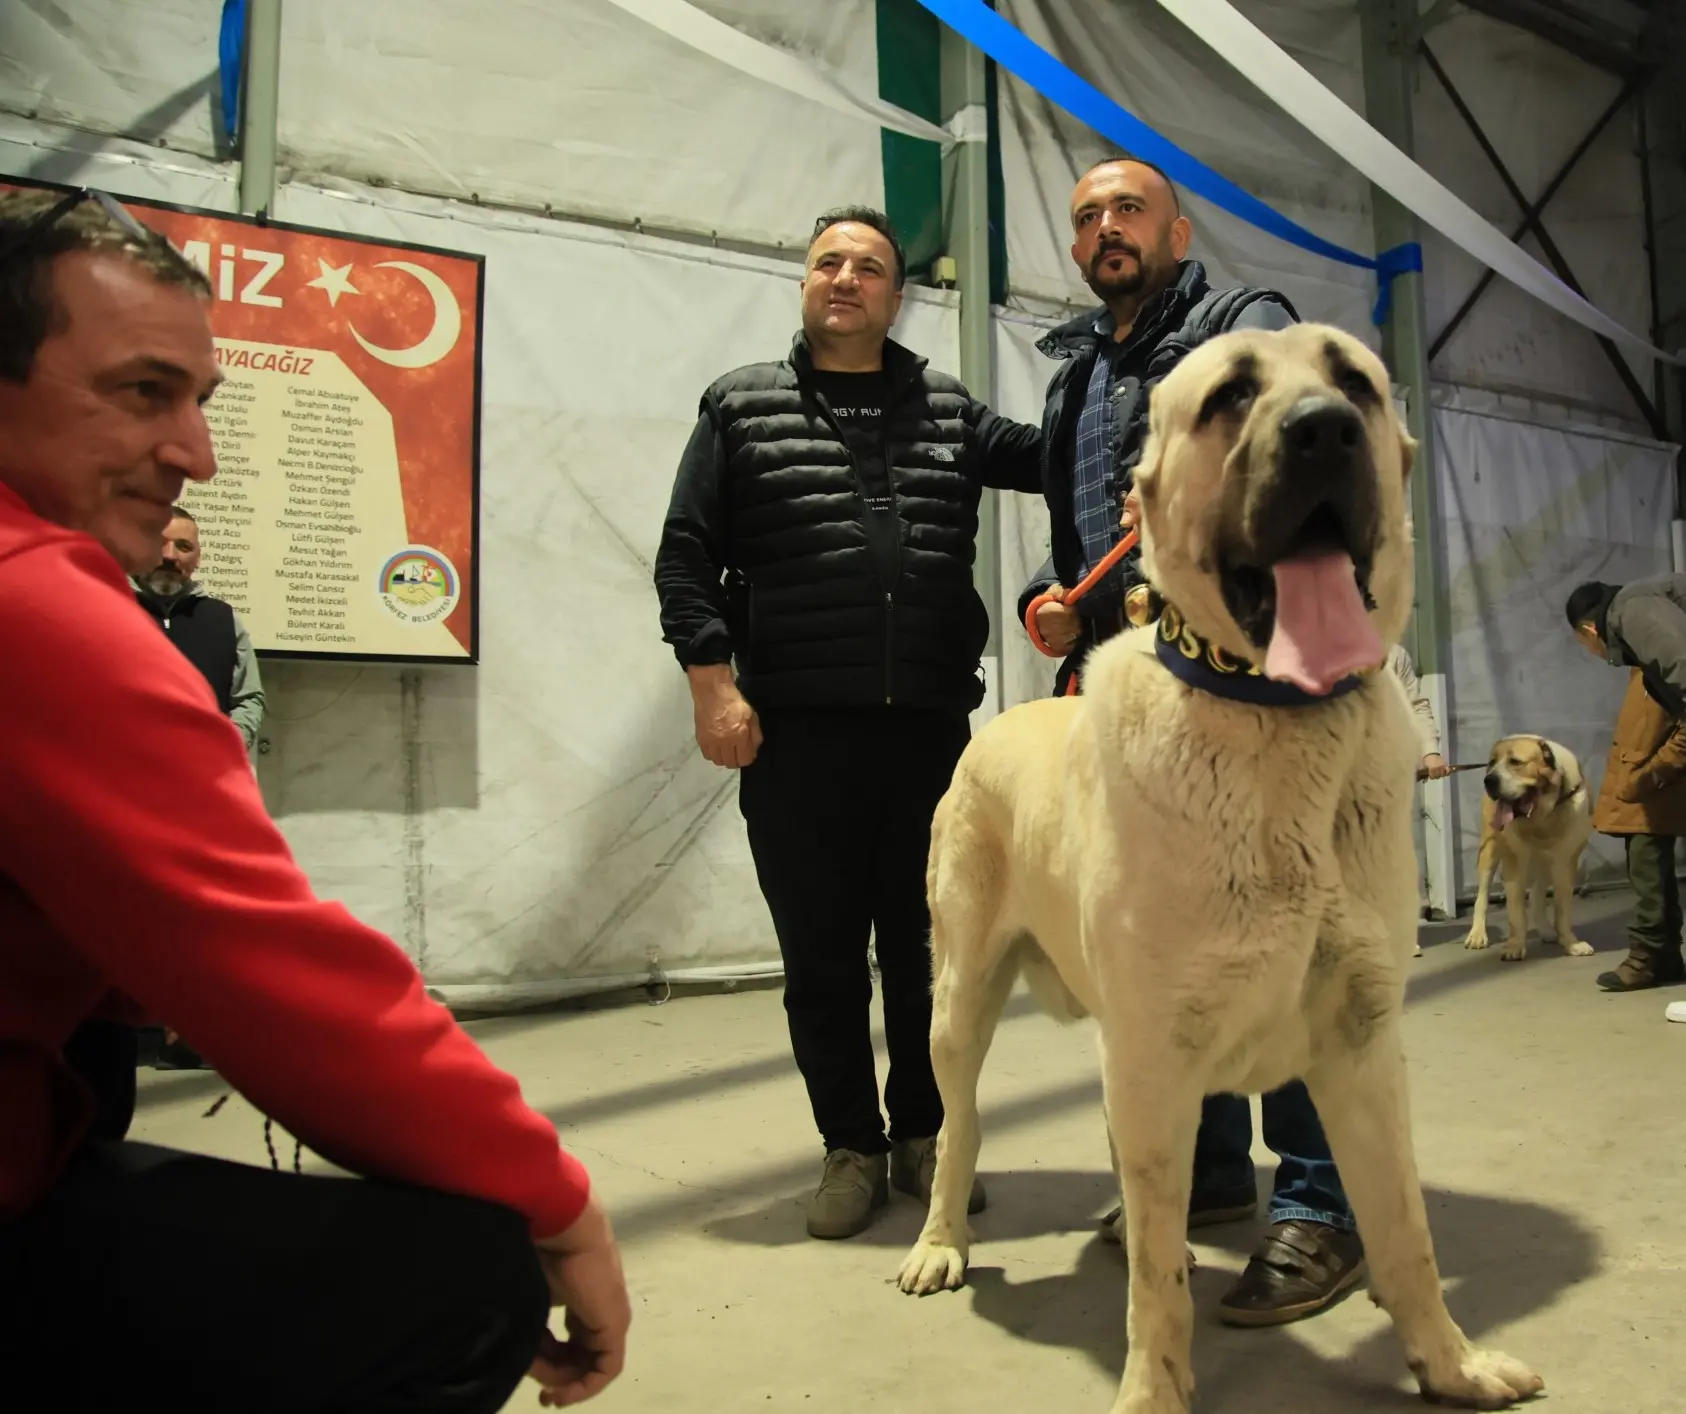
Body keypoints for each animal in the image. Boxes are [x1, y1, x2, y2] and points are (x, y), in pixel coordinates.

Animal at [896, 323, 1544, 1414]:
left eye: (1354, 382)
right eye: (1230, 396)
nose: (1323, 430)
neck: (1273, 715)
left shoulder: (1362, 1049)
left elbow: (1405, 1231)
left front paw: (1451, 1364)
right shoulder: (1156, 1050)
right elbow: (1159, 1286)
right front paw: (1152, 1391)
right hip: (962, 1001)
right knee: (960, 1129)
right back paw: (940, 1243)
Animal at [1463, 741, 1591, 964]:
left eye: (1516, 762)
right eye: (1492, 762)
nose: (1489, 780)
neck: (1543, 816)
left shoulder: (1565, 861)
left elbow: (1563, 909)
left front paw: (1571, 943)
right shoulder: (1514, 861)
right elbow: (1516, 912)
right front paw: (1514, 947)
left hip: (1545, 862)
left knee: (1537, 894)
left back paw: (1547, 930)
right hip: (1490, 850)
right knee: (1482, 895)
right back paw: (1477, 934)